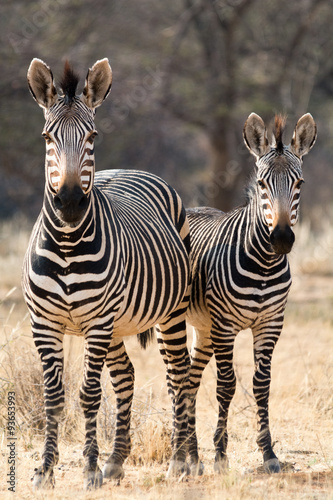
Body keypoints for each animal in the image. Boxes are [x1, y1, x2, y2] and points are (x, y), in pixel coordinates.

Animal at [22, 58, 189, 488]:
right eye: (46, 136)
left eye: (92, 135)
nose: (68, 203)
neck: (67, 245)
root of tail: (131, 169)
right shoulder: (43, 323)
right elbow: (53, 396)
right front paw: (45, 470)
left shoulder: (97, 322)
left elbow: (89, 394)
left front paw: (89, 468)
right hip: (116, 324)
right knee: (127, 374)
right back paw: (116, 461)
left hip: (171, 312)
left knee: (179, 374)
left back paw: (181, 461)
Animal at [185, 111, 316, 474]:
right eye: (261, 184)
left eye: (300, 184)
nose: (282, 239)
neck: (264, 266)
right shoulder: (225, 326)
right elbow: (227, 384)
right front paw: (220, 454)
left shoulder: (270, 324)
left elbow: (261, 385)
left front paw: (268, 453)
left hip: (203, 328)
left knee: (189, 378)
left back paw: (191, 453)